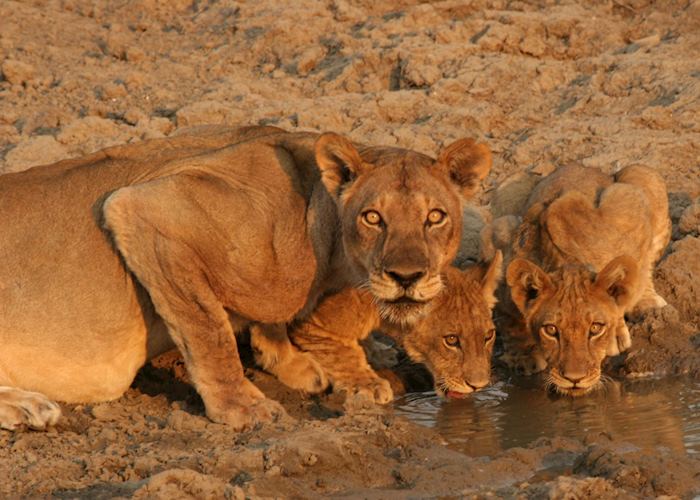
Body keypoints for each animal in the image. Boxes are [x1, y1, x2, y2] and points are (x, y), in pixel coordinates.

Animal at [288, 251, 503, 406]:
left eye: (488, 336)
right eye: (451, 340)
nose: (478, 386)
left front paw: (377, 354)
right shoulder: (311, 320)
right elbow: (340, 353)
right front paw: (367, 386)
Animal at [489, 164, 670, 396]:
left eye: (595, 328)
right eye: (551, 330)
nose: (574, 379)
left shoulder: (626, 200)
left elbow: (630, 265)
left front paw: (615, 331)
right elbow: (509, 323)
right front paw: (523, 357)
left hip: (641, 173)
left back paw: (647, 302)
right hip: (501, 209)